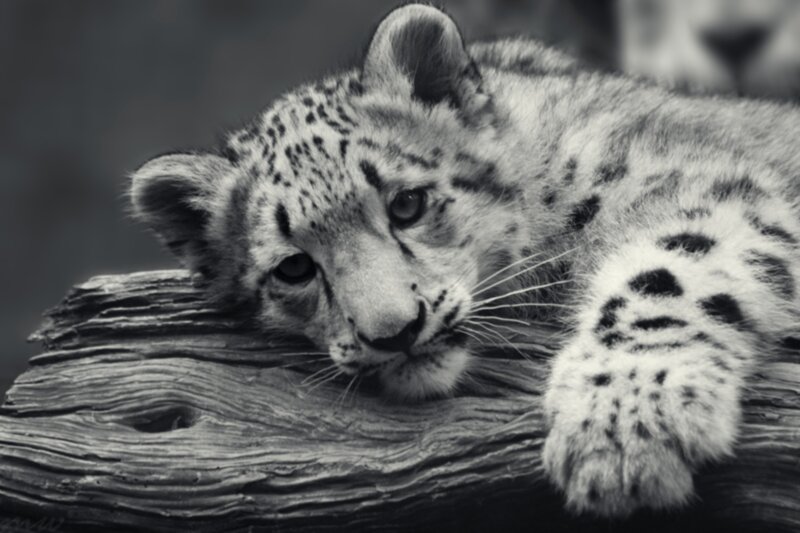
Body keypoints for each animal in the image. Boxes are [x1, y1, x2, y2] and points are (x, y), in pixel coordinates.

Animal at [130, 3, 800, 518]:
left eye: (407, 203)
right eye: (293, 267)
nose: (394, 332)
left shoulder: (722, 193)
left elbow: (668, 271)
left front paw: (620, 431)